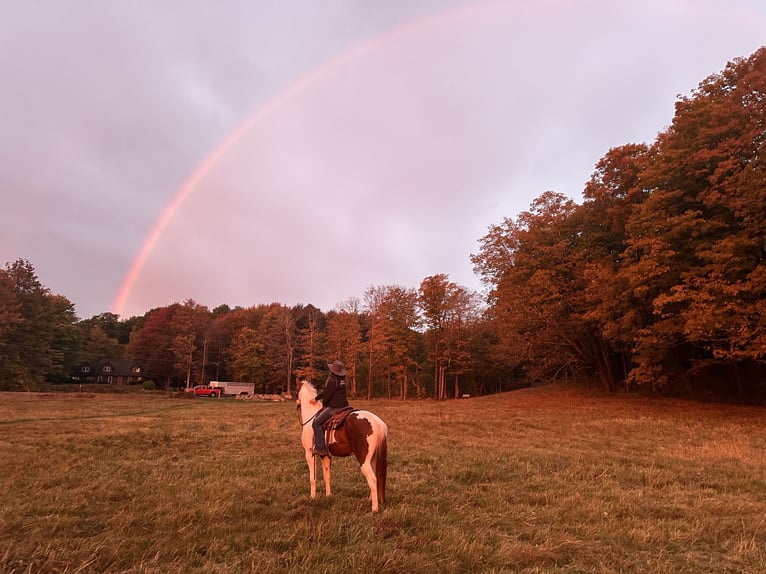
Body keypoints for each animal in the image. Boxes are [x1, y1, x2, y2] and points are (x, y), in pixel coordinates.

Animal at [296, 382, 390, 512]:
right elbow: (327, 476)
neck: (311, 417)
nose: (296, 402)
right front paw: (328, 496)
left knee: (372, 479)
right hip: (373, 459)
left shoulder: (309, 453)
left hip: (363, 460)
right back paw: (370, 499)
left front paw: (312, 497)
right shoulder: (325, 455)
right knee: (375, 477)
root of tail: (378, 423)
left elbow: (312, 477)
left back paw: (374, 508)